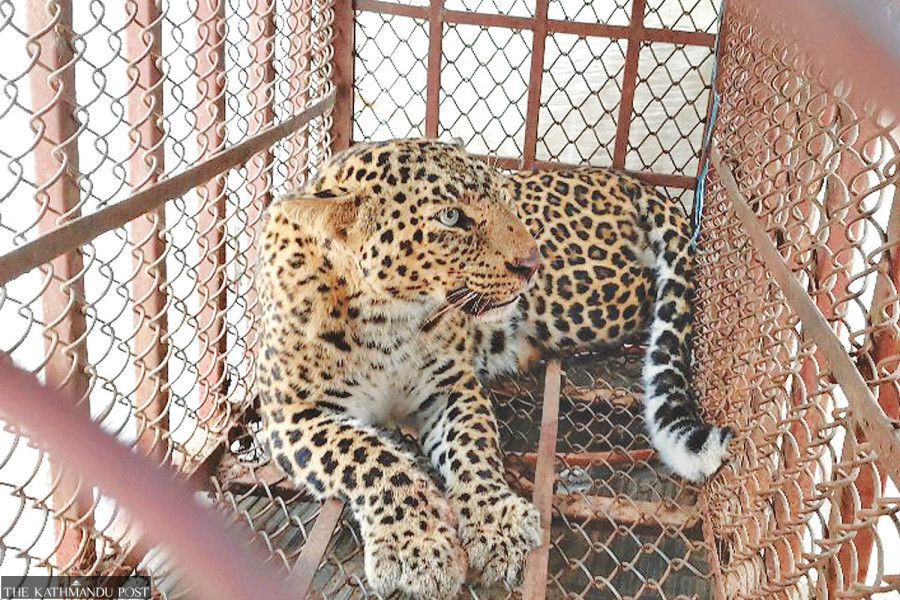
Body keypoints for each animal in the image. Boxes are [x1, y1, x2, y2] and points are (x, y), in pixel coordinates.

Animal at [255, 138, 732, 599]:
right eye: (451, 217)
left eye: (502, 198)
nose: (531, 262)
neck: (387, 323)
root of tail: (622, 177)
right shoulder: (289, 415)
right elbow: (369, 456)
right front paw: (419, 546)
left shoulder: (452, 387)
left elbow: (473, 448)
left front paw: (497, 527)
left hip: (581, 306)